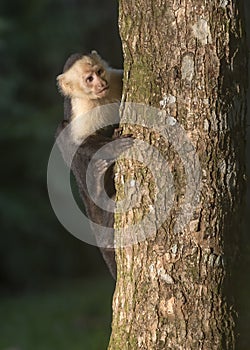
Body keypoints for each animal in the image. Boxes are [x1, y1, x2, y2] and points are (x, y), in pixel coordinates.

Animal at [55, 50, 132, 278]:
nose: (100, 83)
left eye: (99, 72)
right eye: (89, 79)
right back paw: (97, 188)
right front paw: (114, 146)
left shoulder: (115, 78)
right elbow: (77, 142)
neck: (100, 97)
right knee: (62, 131)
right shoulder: (80, 107)